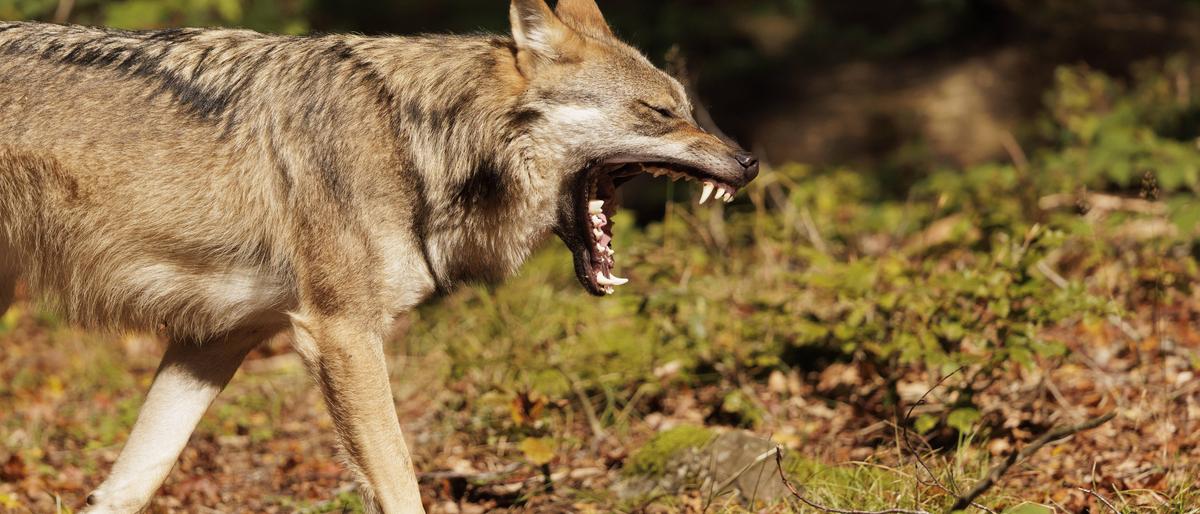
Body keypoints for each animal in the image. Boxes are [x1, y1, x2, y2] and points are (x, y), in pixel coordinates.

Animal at [0, 2, 758, 511]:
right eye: (659, 112)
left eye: (684, 105)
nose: (749, 163)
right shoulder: (341, 335)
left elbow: (131, 482)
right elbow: (399, 480)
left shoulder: (214, 340)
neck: (416, 139)